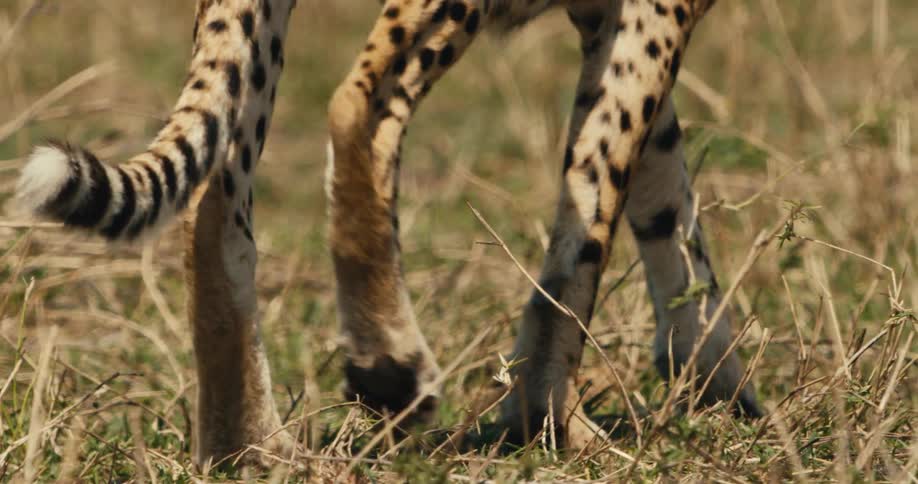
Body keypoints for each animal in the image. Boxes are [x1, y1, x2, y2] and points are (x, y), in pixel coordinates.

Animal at [12, 0, 761, 466]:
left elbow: (652, 182)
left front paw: (713, 378)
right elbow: (602, 194)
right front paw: (550, 415)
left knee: (214, 194)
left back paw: (250, 448)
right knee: (360, 103)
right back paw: (389, 361)